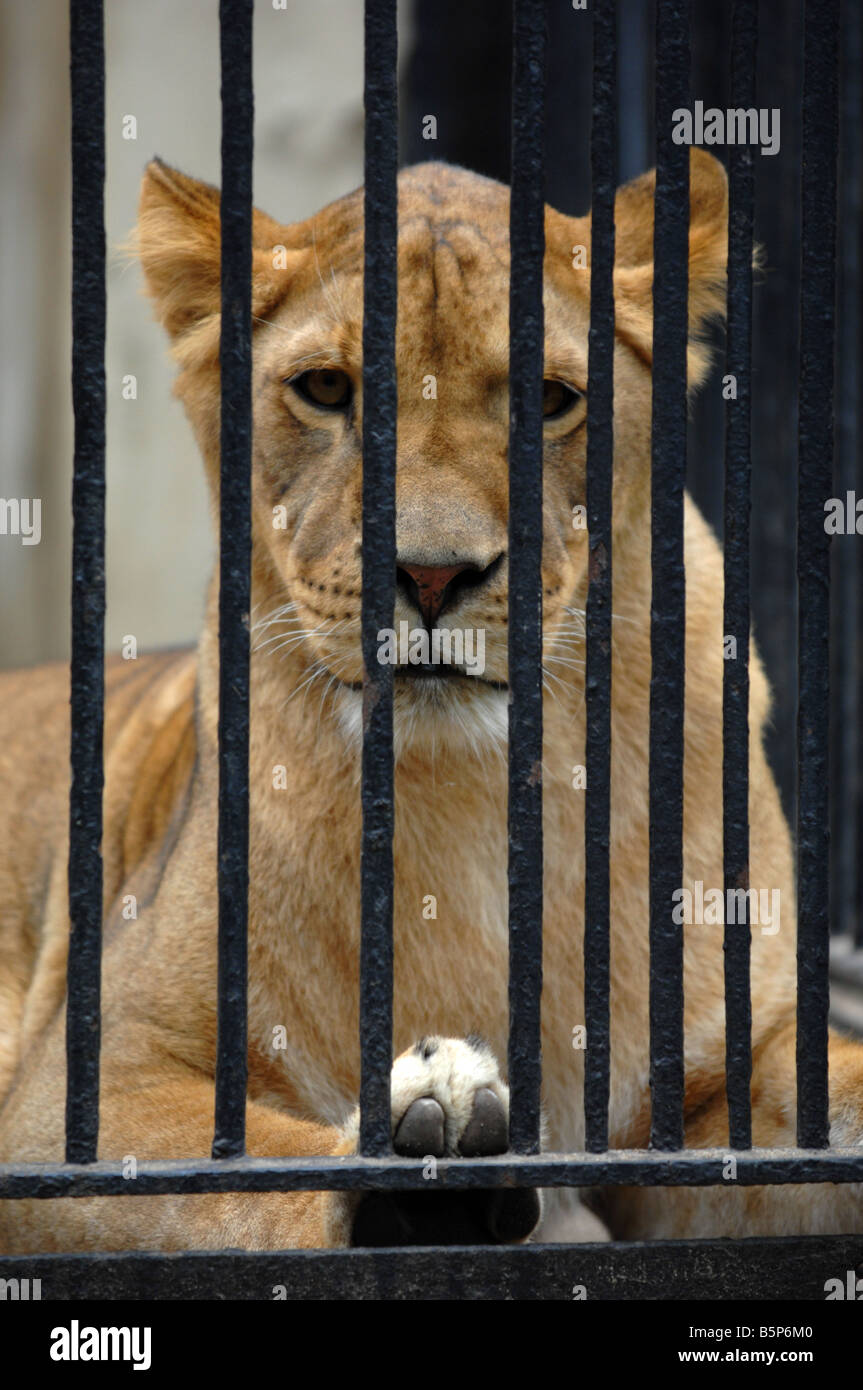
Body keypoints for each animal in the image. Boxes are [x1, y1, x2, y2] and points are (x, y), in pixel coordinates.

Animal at [1, 146, 861, 1256]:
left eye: (549, 398)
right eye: (326, 388)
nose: (433, 574)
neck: (474, 795)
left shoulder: (723, 1087)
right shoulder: (79, 1093)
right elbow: (235, 1176)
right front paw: (417, 1151)